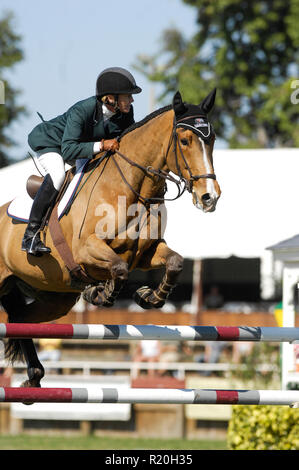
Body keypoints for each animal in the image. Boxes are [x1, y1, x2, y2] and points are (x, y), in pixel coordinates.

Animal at [0, 89, 220, 390]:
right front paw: (100, 293)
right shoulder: (86, 251)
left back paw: (34, 375)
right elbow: (119, 268)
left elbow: (174, 262)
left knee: (20, 319)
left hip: (53, 296)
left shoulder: (146, 253)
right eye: (185, 140)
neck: (132, 188)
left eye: (213, 139)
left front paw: (149, 297)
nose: (210, 197)